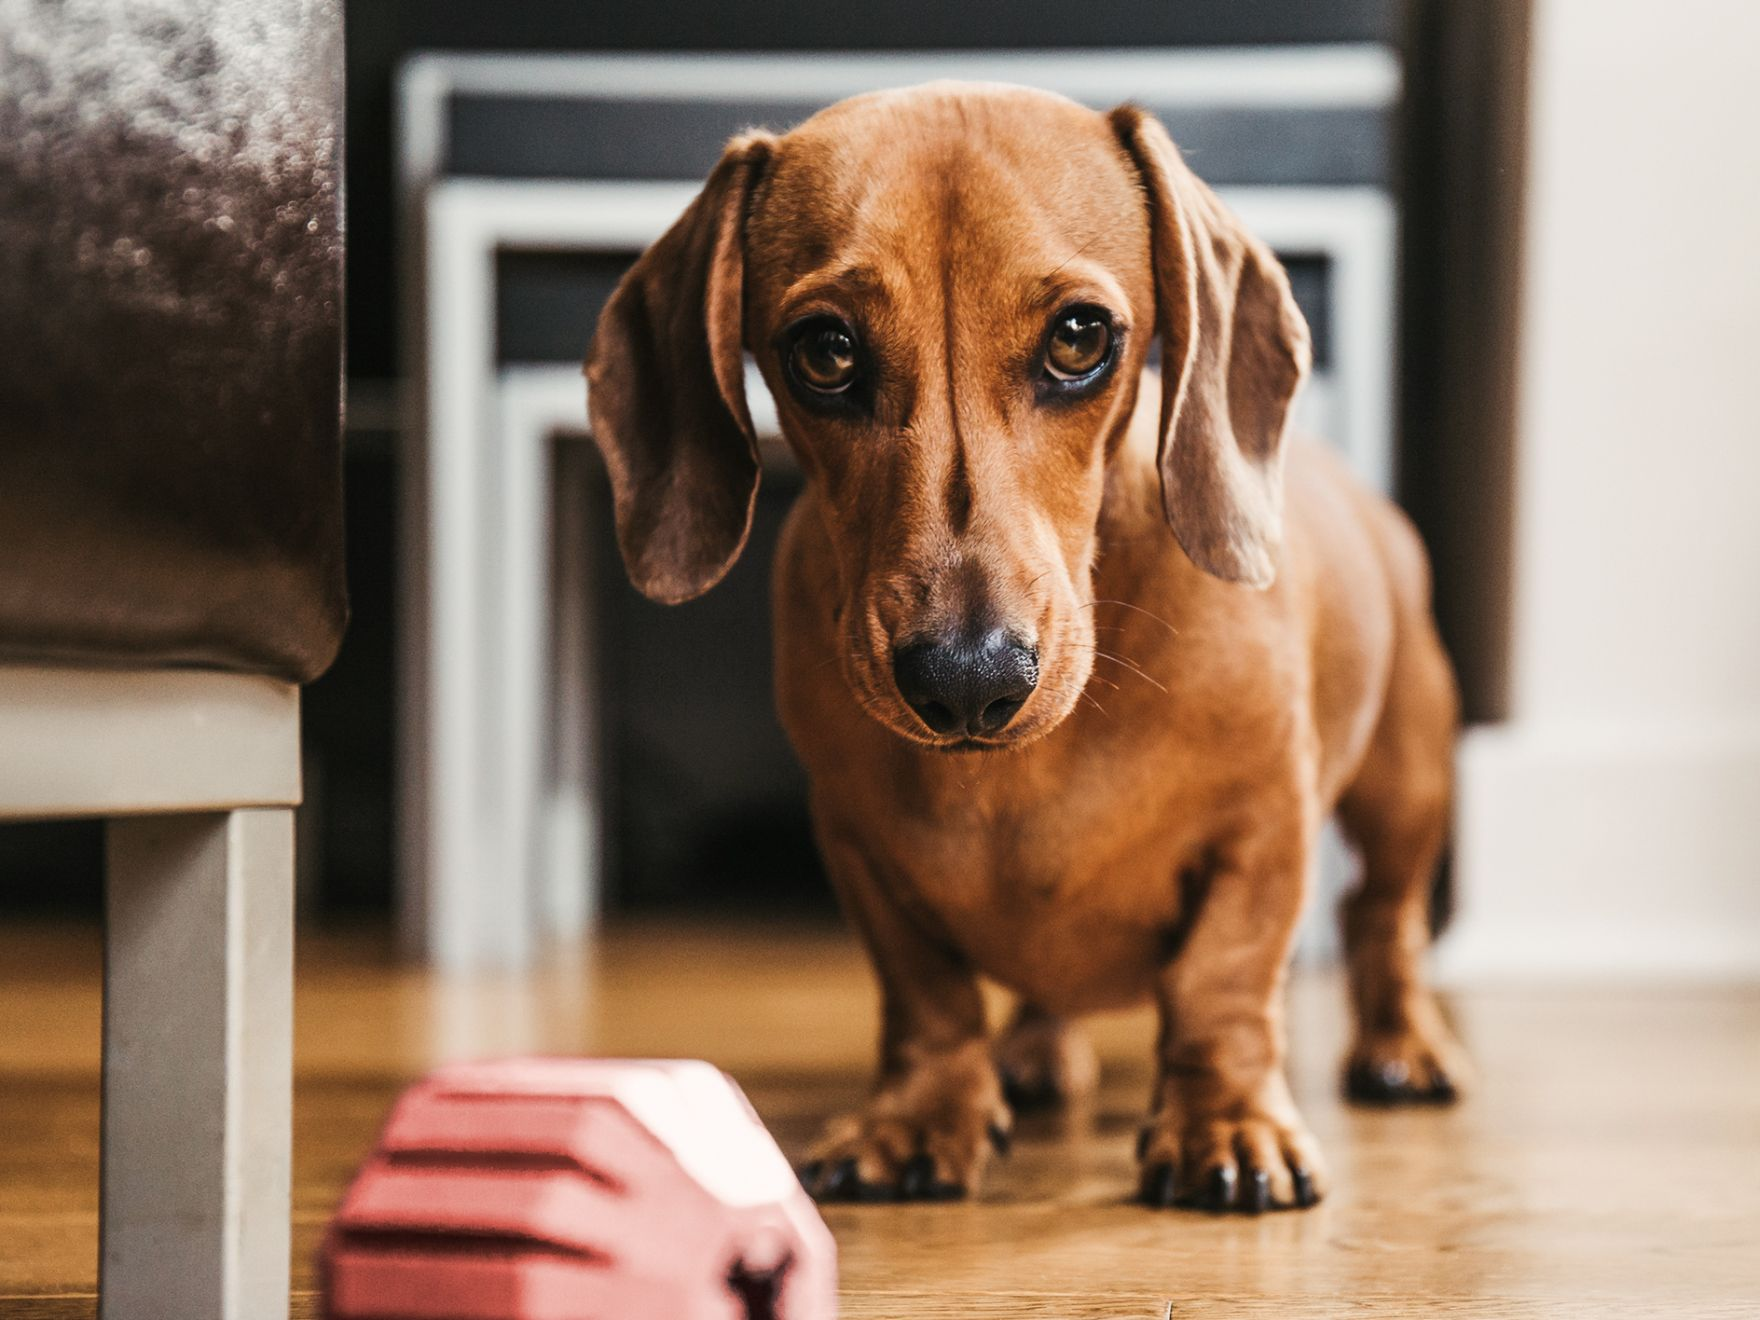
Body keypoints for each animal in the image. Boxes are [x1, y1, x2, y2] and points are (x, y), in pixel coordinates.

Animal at [584, 85, 1464, 1217]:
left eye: (1080, 338)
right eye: (824, 350)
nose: (967, 683)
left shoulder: (1263, 825)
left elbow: (1222, 982)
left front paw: (1225, 1125)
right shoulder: (858, 846)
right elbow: (929, 997)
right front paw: (918, 1119)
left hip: (1406, 781)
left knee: (1381, 917)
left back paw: (1402, 1046)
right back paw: (1036, 1052)